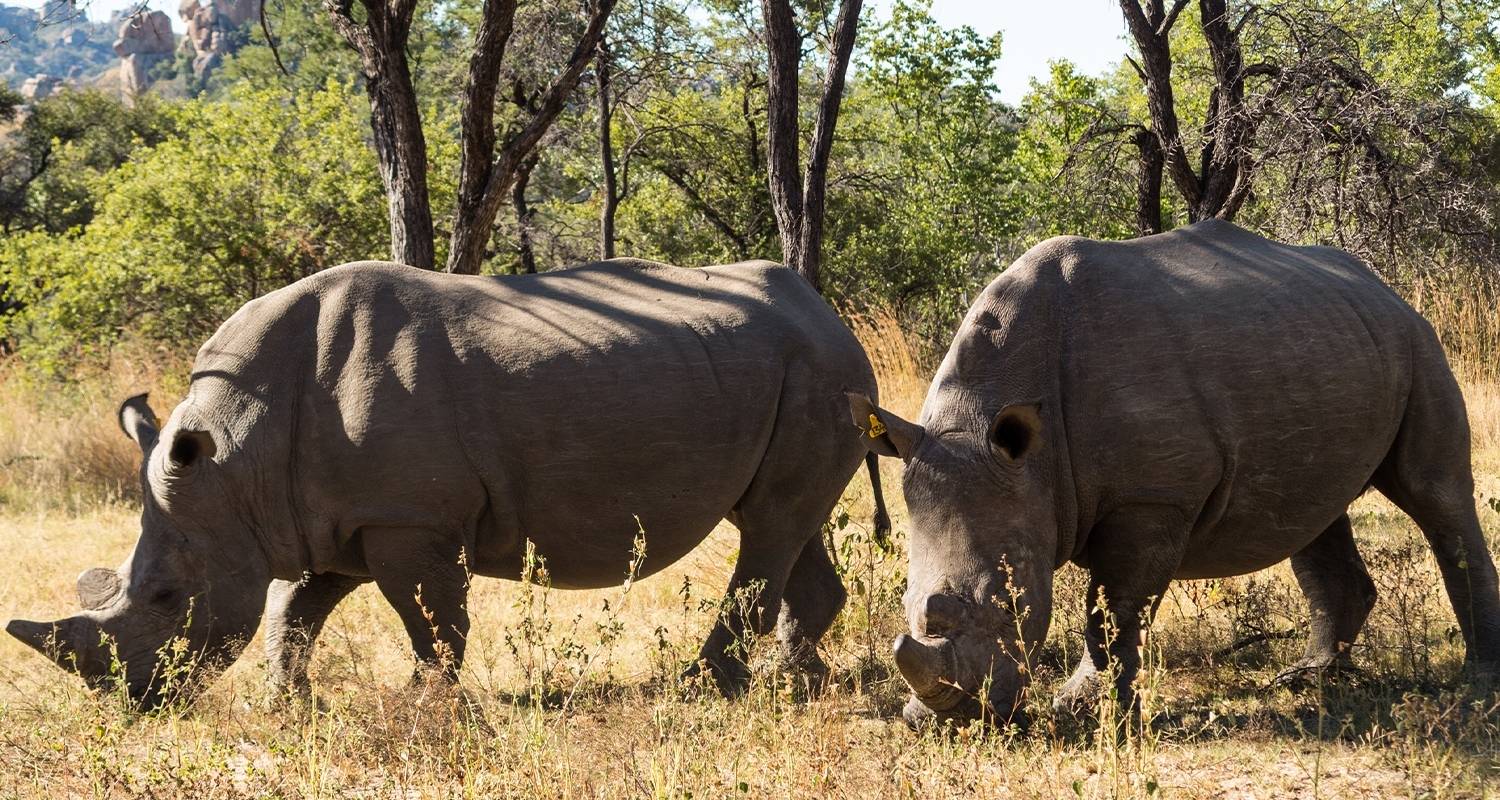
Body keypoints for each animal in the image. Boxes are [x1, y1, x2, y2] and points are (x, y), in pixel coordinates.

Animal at [5, 255, 888, 705]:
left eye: (166, 598)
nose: (131, 702)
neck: (238, 457)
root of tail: (827, 311)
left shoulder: (408, 517)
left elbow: (431, 620)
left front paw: (427, 707)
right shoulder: (333, 516)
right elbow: (296, 608)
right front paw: (288, 706)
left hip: (819, 373)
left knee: (769, 527)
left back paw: (708, 689)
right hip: (797, 376)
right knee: (779, 520)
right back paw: (799, 681)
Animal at [852, 220, 1500, 729]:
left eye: (1009, 604)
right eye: (906, 600)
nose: (950, 720)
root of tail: (1382, 288)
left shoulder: (1153, 499)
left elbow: (1113, 610)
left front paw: (1083, 712)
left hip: (1417, 343)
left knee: (1436, 496)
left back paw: (1478, 683)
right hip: (1324, 344)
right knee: (1314, 514)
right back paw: (1306, 679)